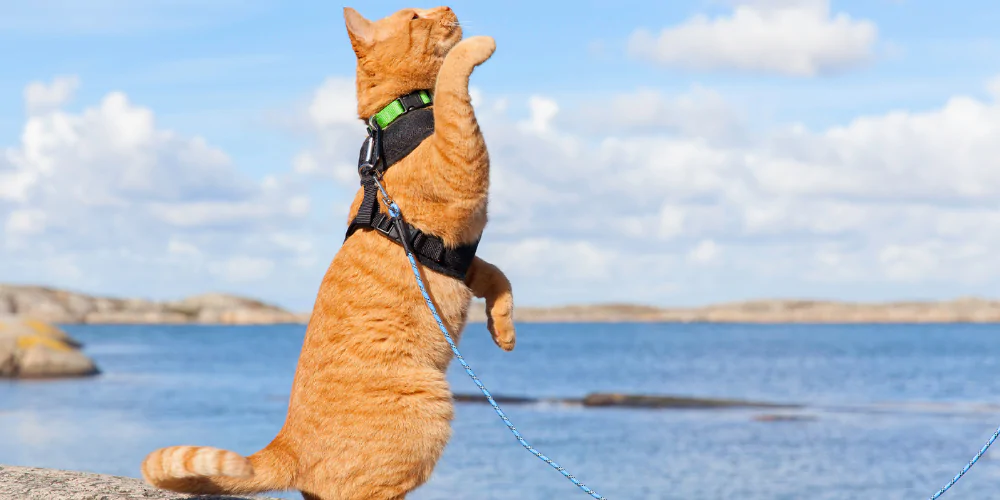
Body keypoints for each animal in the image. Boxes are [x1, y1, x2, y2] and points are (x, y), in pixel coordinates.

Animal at [140, 6, 516, 500]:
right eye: (416, 16)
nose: (448, 8)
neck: (399, 114)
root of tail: (287, 443)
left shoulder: (458, 254)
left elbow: (498, 276)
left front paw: (503, 329)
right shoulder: (462, 167)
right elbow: (456, 81)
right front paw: (477, 46)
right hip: (427, 412)